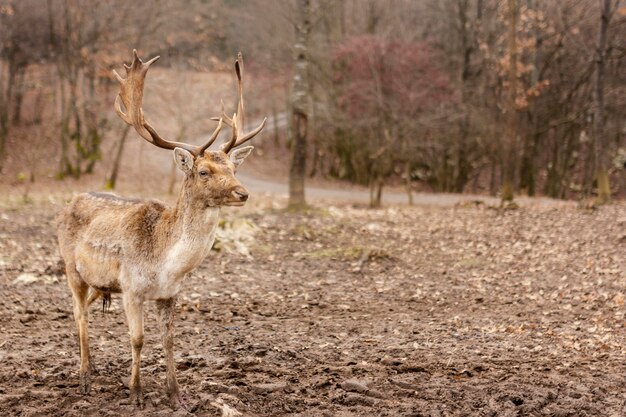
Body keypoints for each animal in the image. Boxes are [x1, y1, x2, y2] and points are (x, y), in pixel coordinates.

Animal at [56, 50, 266, 408]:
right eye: (204, 172)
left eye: (233, 167)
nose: (243, 193)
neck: (165, 264)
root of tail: (70, 201)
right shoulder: (131, 288)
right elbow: (138, 339)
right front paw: (136, 394)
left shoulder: (170, 294)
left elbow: (169, 341)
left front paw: (176, 395)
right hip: (71, 268)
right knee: (78, 313)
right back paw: (84, 378)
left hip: (101, 282)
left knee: (85, 310)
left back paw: (92, 368)